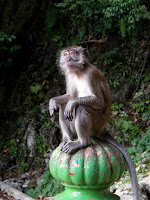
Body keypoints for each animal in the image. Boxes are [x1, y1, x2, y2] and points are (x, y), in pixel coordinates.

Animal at [49, 46, 139, 199]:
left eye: (73, 53)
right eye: (65, 54)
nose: (68, 59)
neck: (78, 72)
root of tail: (102, 128)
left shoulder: (90, 74)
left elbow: (97, 101)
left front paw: (72, 103)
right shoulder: (69, 76)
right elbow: (69, 96)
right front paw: (53, 101)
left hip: (96, 123)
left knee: (81, 108)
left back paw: (81, 142)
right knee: (64, 107)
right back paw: (66, 139)